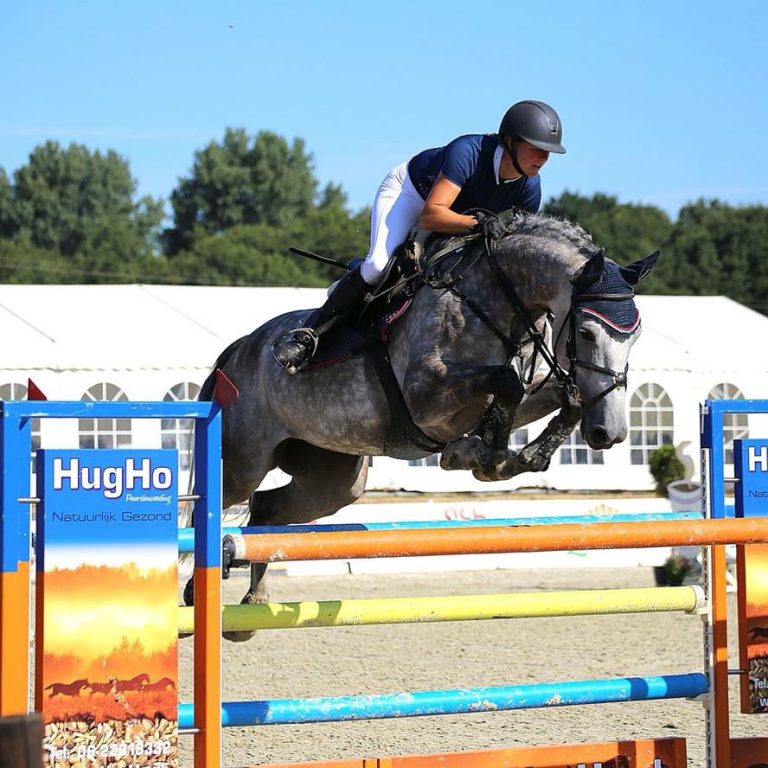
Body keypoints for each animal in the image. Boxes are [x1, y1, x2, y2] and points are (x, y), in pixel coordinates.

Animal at [184, 212, 656, 640]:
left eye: (635, 336)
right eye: (587, 332)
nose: (609, 433)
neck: (491, 302)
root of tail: (239, 349)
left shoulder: (516, 392)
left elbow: (560, 394)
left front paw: (507, 454)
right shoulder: (427, 397)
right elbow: (505, 385)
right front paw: (485, 456)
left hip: (332, 478)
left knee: (266, 509)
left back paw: (252, 606)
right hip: (243, 460)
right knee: (214, 506)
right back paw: (193, 594)